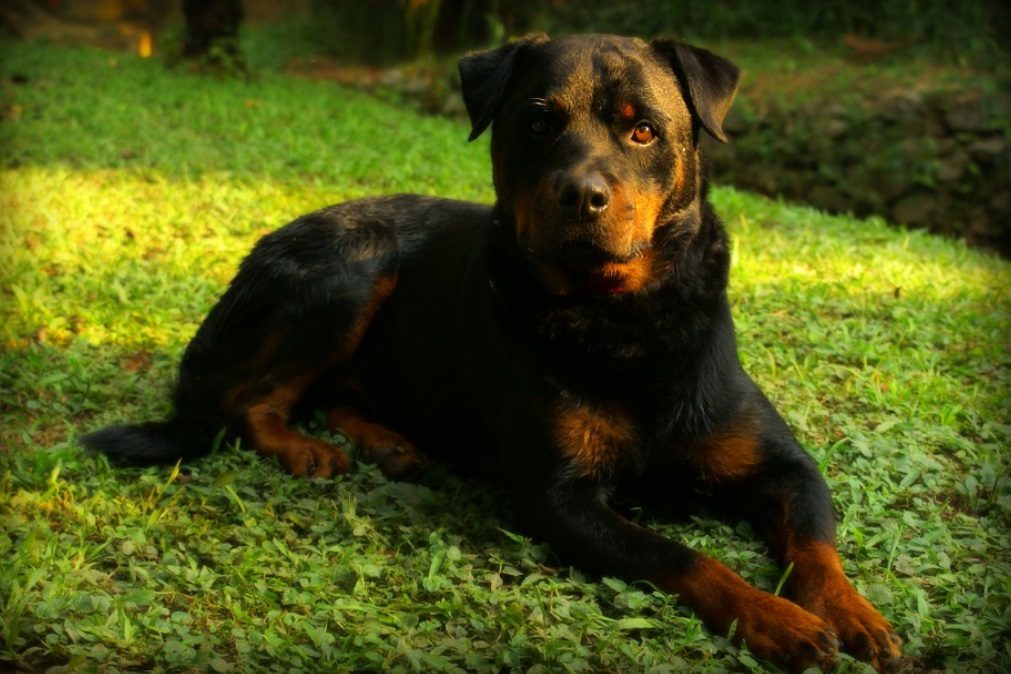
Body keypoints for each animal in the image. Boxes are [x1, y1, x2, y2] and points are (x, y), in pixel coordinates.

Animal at [86, 32, 905, 674]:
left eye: (642, 131)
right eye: (537, 123)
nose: (581, 194)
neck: (621, 317)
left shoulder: (785, 466)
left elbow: (815, 543)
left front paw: (853, 613)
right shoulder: (559, 498)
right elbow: (681, 556)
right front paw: (777, 620)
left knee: (333, 394)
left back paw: (390, 442)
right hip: (355, 265)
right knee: (250, 400)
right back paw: (306, 449)